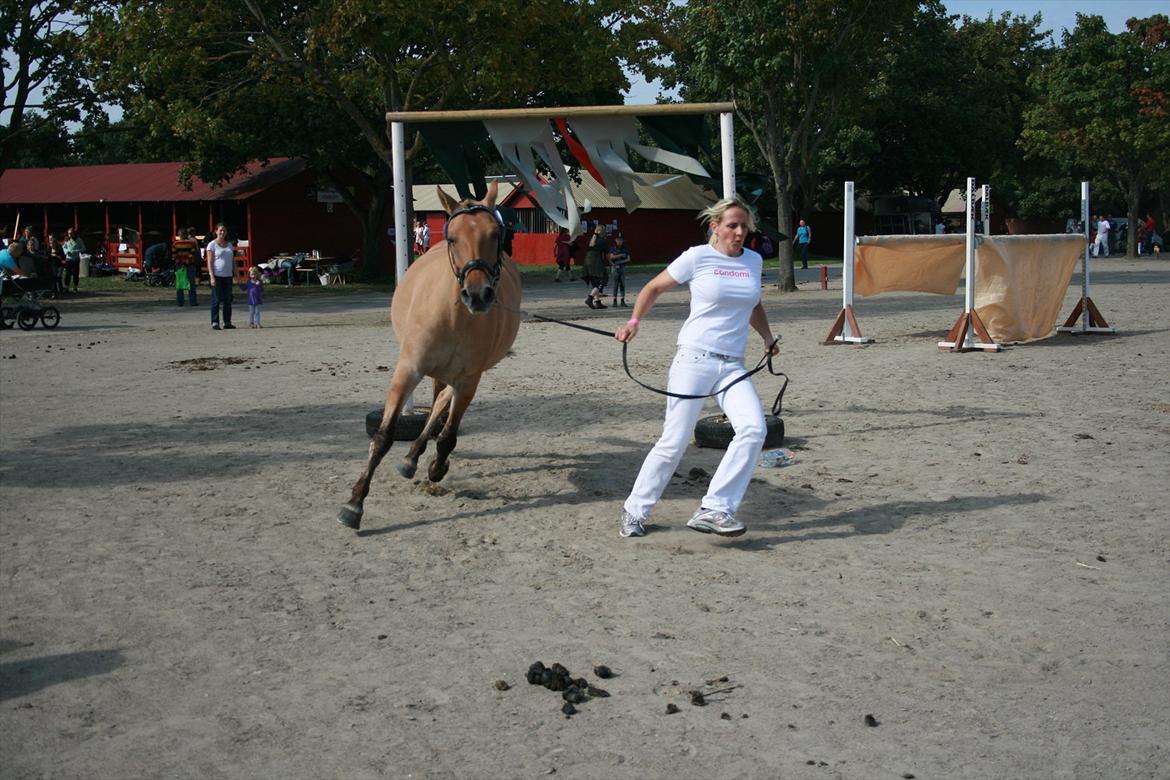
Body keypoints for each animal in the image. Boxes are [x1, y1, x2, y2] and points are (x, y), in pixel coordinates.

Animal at [339, 181, 521, 530]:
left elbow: (448, 435)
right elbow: (383, 436)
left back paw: (417, 456)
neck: (456, 316)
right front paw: (354, 503)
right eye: (453, 237)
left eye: (495, 234)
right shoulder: (409, 369)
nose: (478, 295)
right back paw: (411, 457)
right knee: (437, 402)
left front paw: (437, 467)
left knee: (440, 406)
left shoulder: (469, 380)